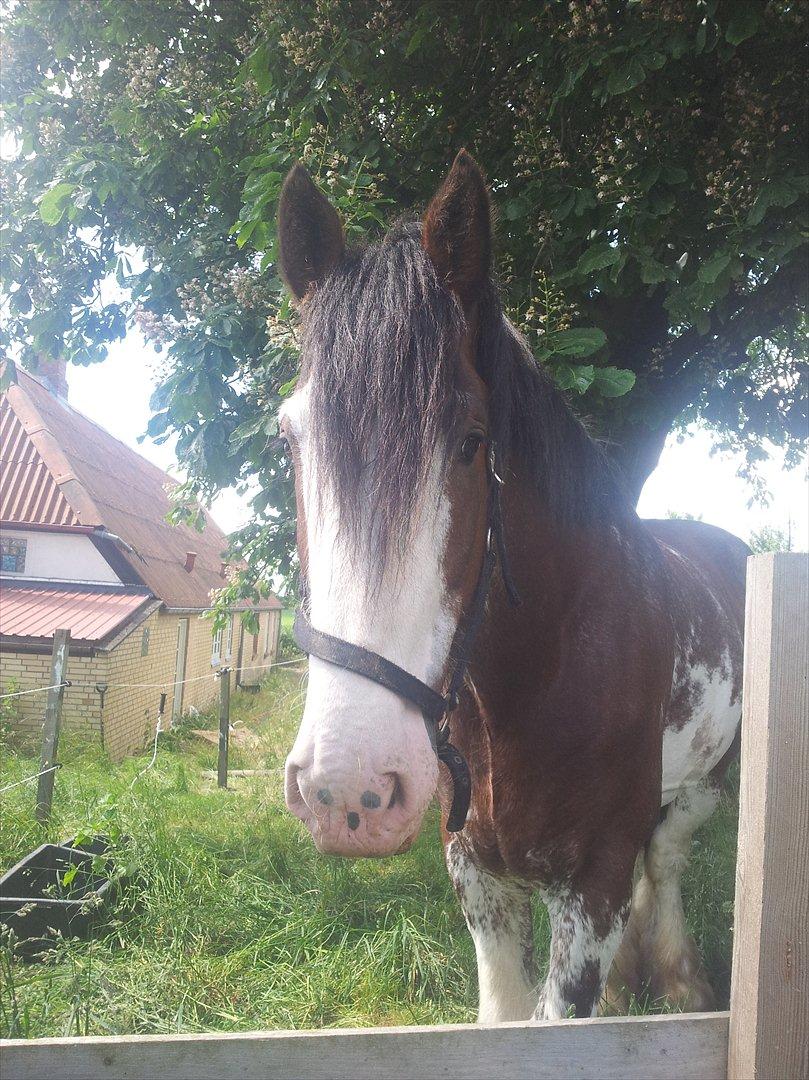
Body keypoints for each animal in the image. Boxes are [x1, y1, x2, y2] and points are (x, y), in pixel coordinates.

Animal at [276, 152, 743, 1019]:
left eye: (469, 441)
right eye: (288, 436)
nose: (345, 788)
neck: (536, 681)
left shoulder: (589, 884)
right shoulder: (475, 870)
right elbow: (501, 1008)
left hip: (704, 786)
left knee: (663, 857)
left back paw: (678, 978)